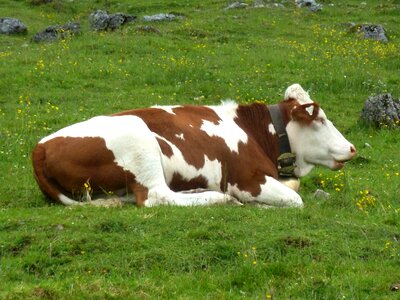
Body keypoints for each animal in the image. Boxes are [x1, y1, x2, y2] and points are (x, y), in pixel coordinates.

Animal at [32, 83, 356, 207]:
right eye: (321, 119)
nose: (352, 147)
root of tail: (41, 147)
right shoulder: (247, 180)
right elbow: (295, 199)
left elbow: (294, 187)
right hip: (140, 140)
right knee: (157, 197)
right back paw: (217, 198)